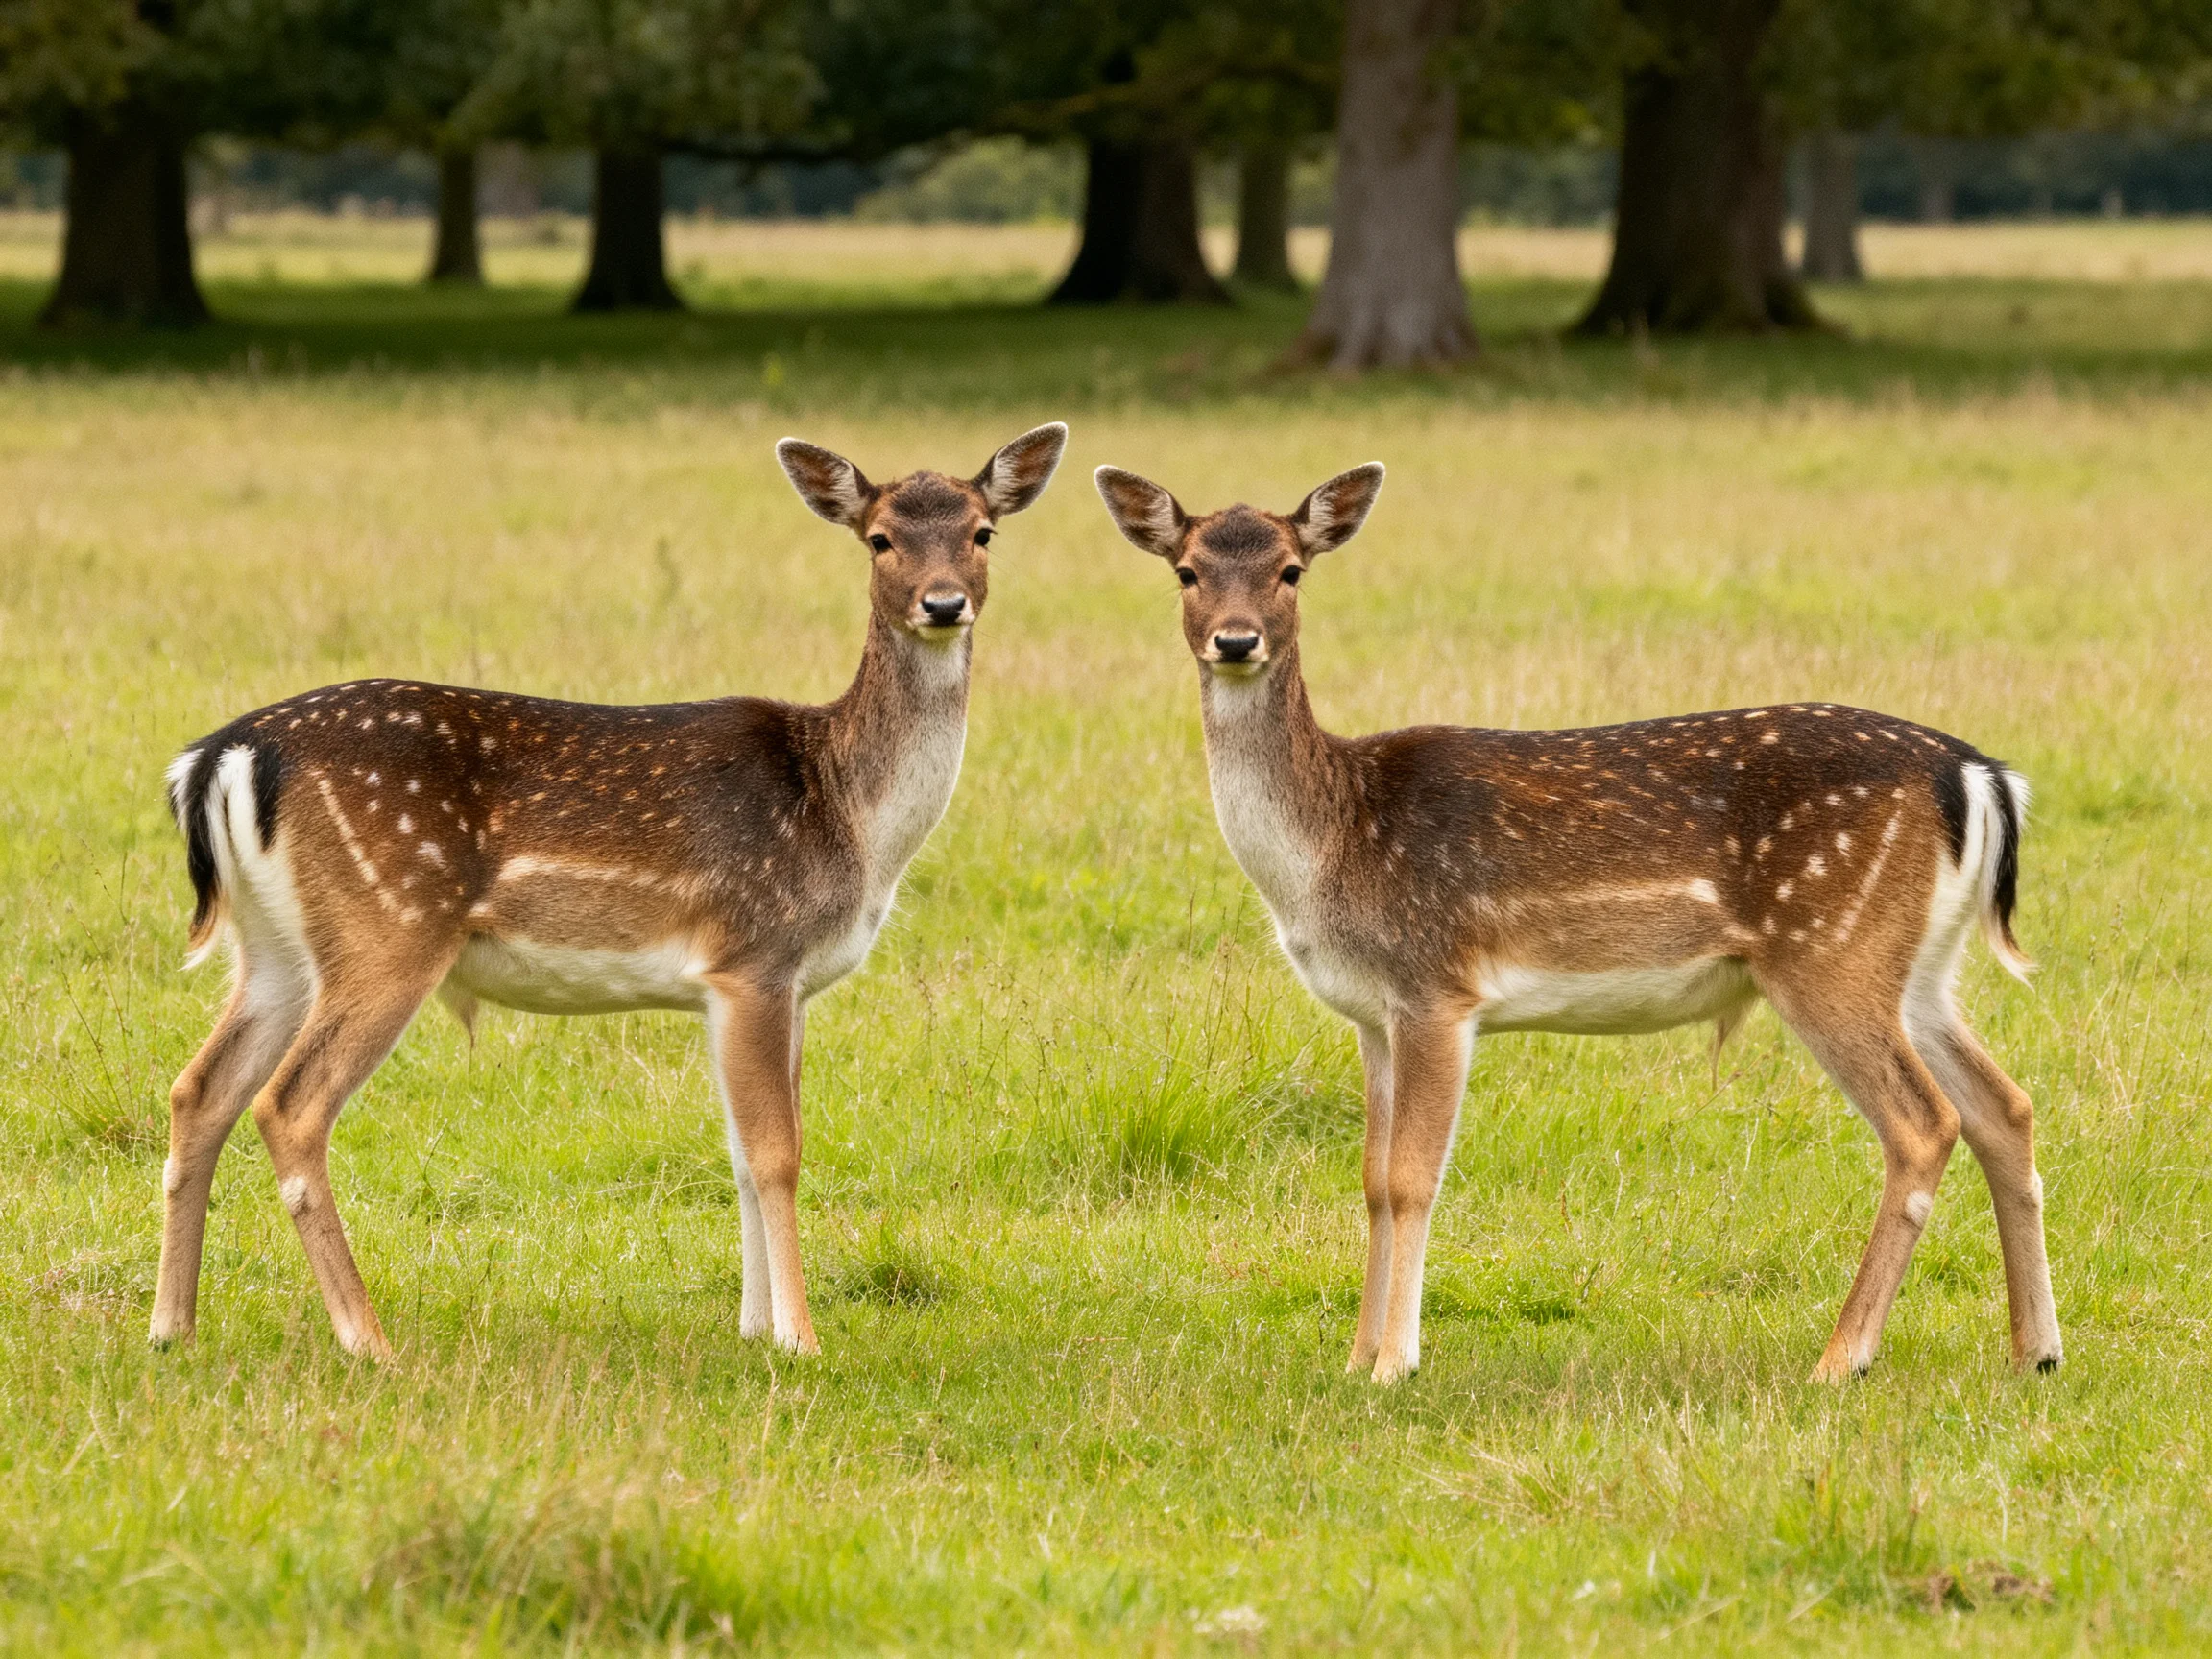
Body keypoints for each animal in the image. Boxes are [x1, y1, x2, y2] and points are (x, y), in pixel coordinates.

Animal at [151, 422, 1068, 1360]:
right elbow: (778, 1152)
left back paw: (171, 1328)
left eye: (983, 531)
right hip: (389, 924)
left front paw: (751, 1328)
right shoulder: (755, 955)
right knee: (289, 1107)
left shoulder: (771, 987)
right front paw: (801, 1340)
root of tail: (221, 757)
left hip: (276, 948)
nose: (944, 603)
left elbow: (738, 1153)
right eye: (879, 538)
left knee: (199, 1091)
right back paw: (368, 1340)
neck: (847, 814)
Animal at [1095, 459, 2059, 1386]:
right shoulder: (1371, 1013)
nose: (1236, 640)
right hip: (1918, 968)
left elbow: (1411, 1181)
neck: (1332, 845)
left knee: (1924, 1124)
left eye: (1292, 570)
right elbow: (1369, 1180)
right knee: (2004, 1105)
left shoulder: (1436, 985)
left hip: (1830, 949)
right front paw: (1356, 1356)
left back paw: (1842, 1358)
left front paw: (1395, 1366)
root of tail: (1978, 776)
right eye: (1187, 571)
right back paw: (2036, 1350)